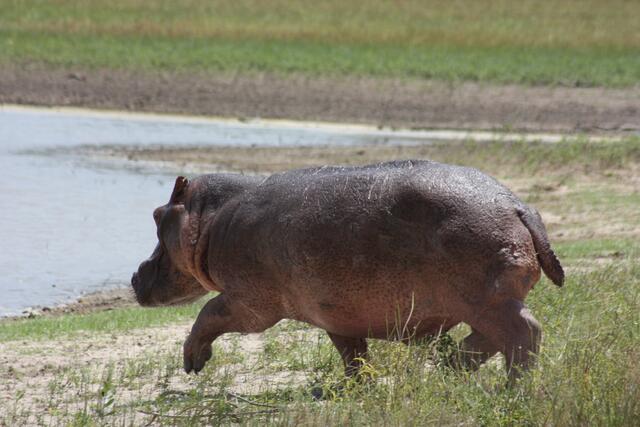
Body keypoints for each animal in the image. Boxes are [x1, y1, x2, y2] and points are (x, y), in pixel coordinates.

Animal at [131, 160, 564, 382]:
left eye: (155, 215)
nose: (135, 276)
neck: (209, 217)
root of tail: (518, 205)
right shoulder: (337, 314)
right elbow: (352, 354)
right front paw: (354, 387)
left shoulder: (250, 304)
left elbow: (209, 314)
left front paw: (192, 363)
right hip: (486, 301)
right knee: (489, 340)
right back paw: (448, 368)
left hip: (490, 299)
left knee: (524, 334)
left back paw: (514, 390)